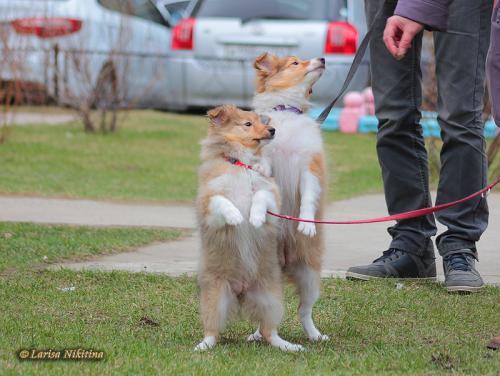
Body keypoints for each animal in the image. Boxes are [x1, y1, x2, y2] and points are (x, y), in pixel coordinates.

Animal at [195, 104, 304, 352]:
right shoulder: (208, 201)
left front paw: (254, 218)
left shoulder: (271, 193)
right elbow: (222, 201)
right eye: (247, 124)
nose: (272, 130)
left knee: (268, 331)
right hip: (214, 298)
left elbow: (260, 197)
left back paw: (289, 346)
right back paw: (203, 346)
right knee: (213, 331)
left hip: (270, 298)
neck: (241, 165)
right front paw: (236, 216)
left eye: (263, 122)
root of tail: (241, 290)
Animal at [248, 53, 330, 344]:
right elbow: (261, 192)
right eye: (296, 63)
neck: (287, 110)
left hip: (310, 276)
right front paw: (257, 216)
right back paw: (257, 334)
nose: (323, 58)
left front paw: (306, 224)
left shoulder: (309, 167)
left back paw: (316, 336)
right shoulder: (264, 165)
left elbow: (308, 197)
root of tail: (283, 262)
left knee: (304, 311)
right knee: (264, 313)